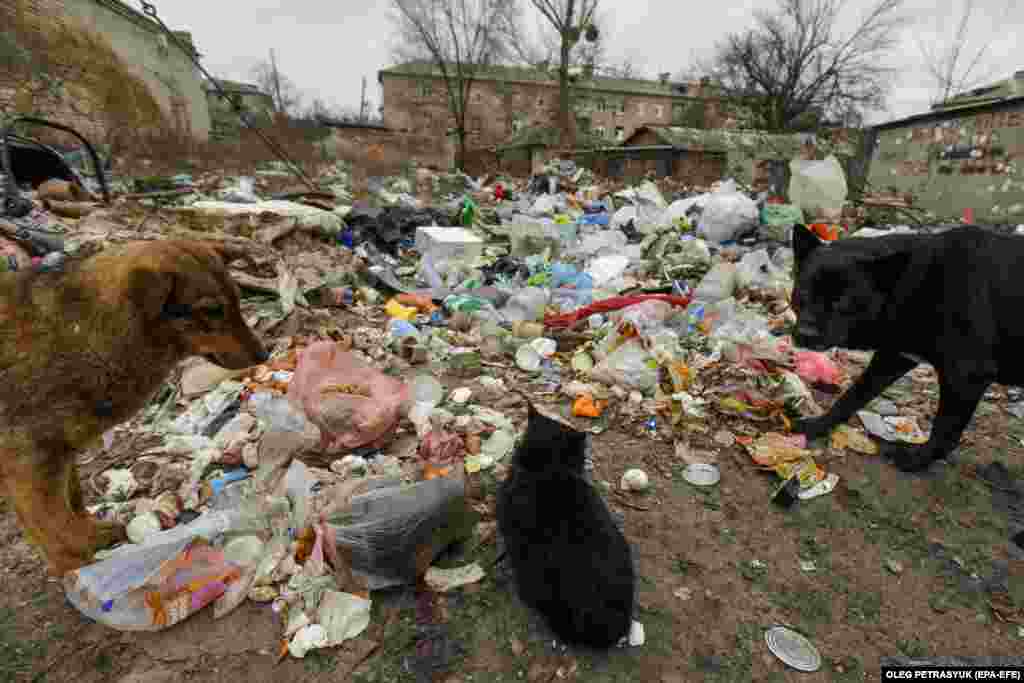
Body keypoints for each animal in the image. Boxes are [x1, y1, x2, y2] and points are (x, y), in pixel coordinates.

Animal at [0, 241, 268, 577]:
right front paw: (76, 566)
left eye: (237, 301)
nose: (265, 354)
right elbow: (54, 524)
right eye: (210, 311)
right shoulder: (28, 461)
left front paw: (93, 538)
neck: (84, 332)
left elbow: (73, 503)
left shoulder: (60, 452)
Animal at [786, 227, 1019, 473]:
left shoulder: (966, 377)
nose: (805, 334)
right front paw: (819, 425)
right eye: (803, 292)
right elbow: (852, 396)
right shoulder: (893, 357)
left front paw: (916, 460)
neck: (918, 283)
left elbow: (944, 431)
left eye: (842, 302)